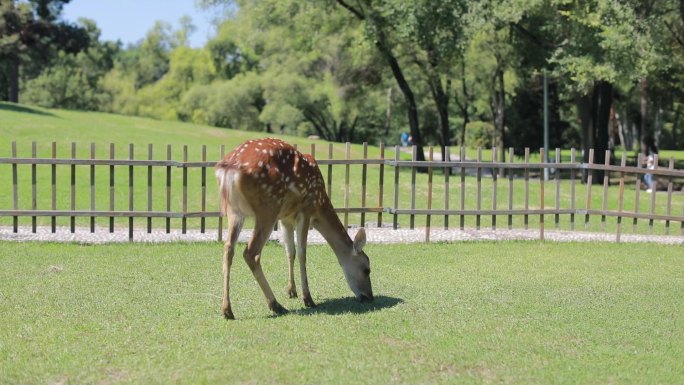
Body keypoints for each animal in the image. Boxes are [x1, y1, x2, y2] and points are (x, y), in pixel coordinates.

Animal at [215, 138, 372, 318]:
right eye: (367, 269)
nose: (370, 296)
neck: (320, 204)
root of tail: (229, 168)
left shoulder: (285, 218)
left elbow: (290, 251)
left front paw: (292, 291)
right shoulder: (306, 210)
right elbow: (303, 252)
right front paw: (308, 298)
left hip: (234, 212)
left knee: (228, 249)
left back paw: (227, 310)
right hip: (268, 208)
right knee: (251, 252)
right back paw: (275, 305)